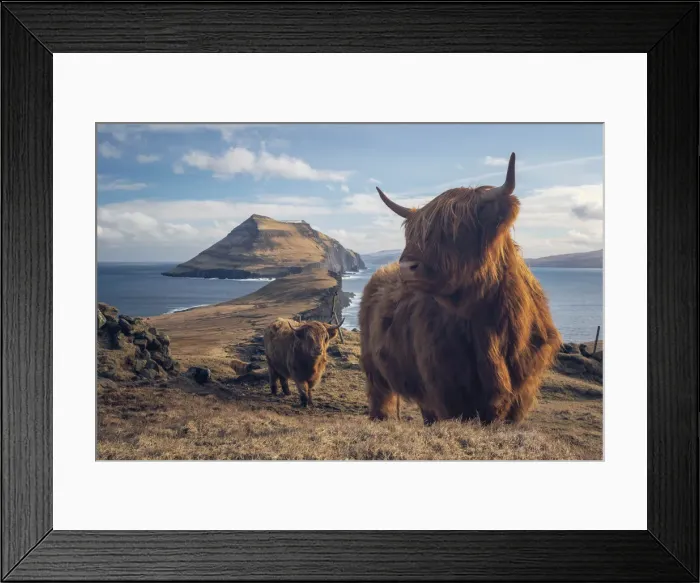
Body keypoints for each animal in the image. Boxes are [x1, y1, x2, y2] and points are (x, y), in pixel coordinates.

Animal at [359, 153, 562, 425]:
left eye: (455, 229)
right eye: (412, 234)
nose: (406, 267)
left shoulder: (521, 393)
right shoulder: (449, 392)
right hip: (375, 370)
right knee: (381, 397)